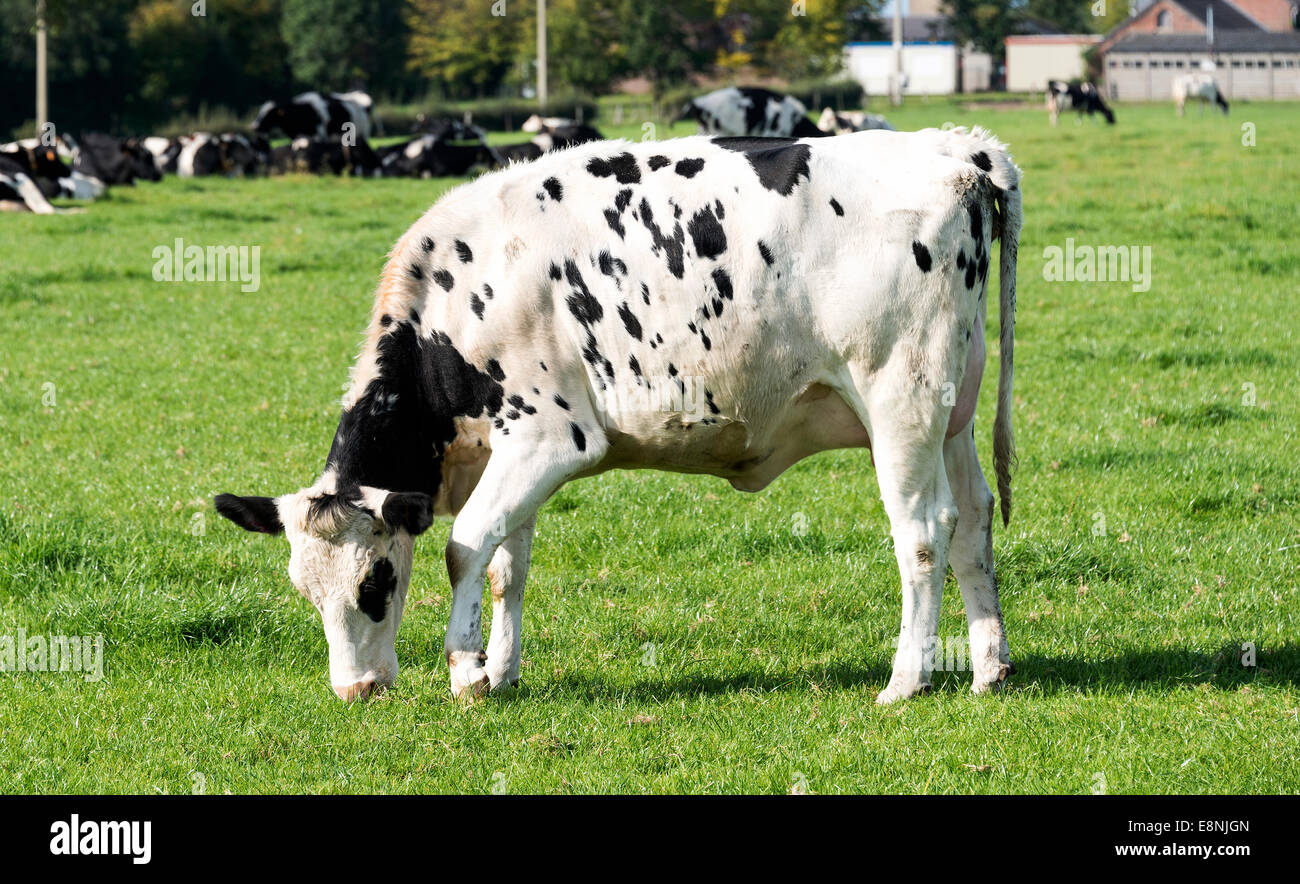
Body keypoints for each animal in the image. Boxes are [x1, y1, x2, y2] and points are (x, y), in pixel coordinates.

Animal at [215, 126, 1022, 706]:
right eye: (304, 590)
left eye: (374, 584)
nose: (354, 690)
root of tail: (954, 148)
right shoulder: (509, 451)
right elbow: (507, 563)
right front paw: (501, 672)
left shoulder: (549, 439)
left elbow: (466, 548)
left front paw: (466, 672)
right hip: (952, 412)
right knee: (974, 521)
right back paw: (988, 667)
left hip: (900, 402)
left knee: (923, 532)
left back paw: (905, 681)